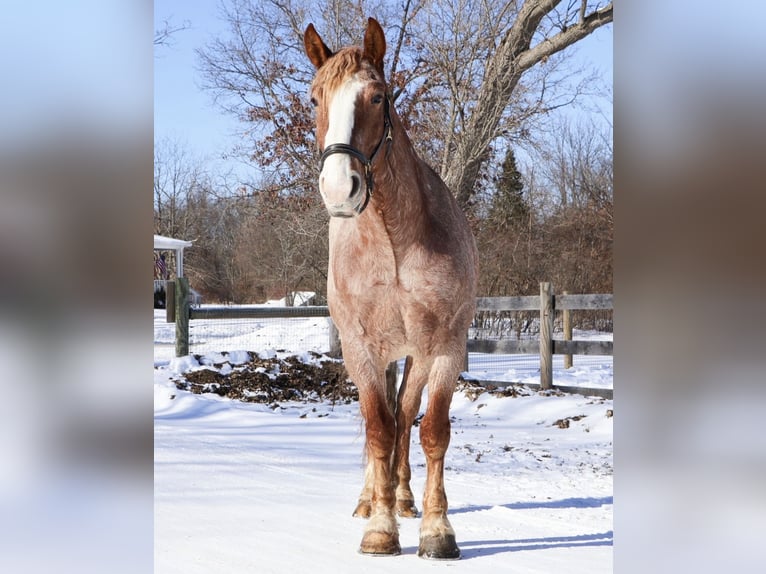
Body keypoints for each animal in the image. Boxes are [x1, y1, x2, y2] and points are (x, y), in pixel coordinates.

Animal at [303, 17, 478, 559]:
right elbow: (378, 430)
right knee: (382, 422)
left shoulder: (443, 348)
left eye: (377, 96)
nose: (340, 189)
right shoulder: (361, 350)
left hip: (413, 358)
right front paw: (379, 529)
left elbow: (430, 430)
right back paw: (371, 499)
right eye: (315, 98)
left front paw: (437, 531)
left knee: (405, 415)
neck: (394, 244)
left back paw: (402, 496)